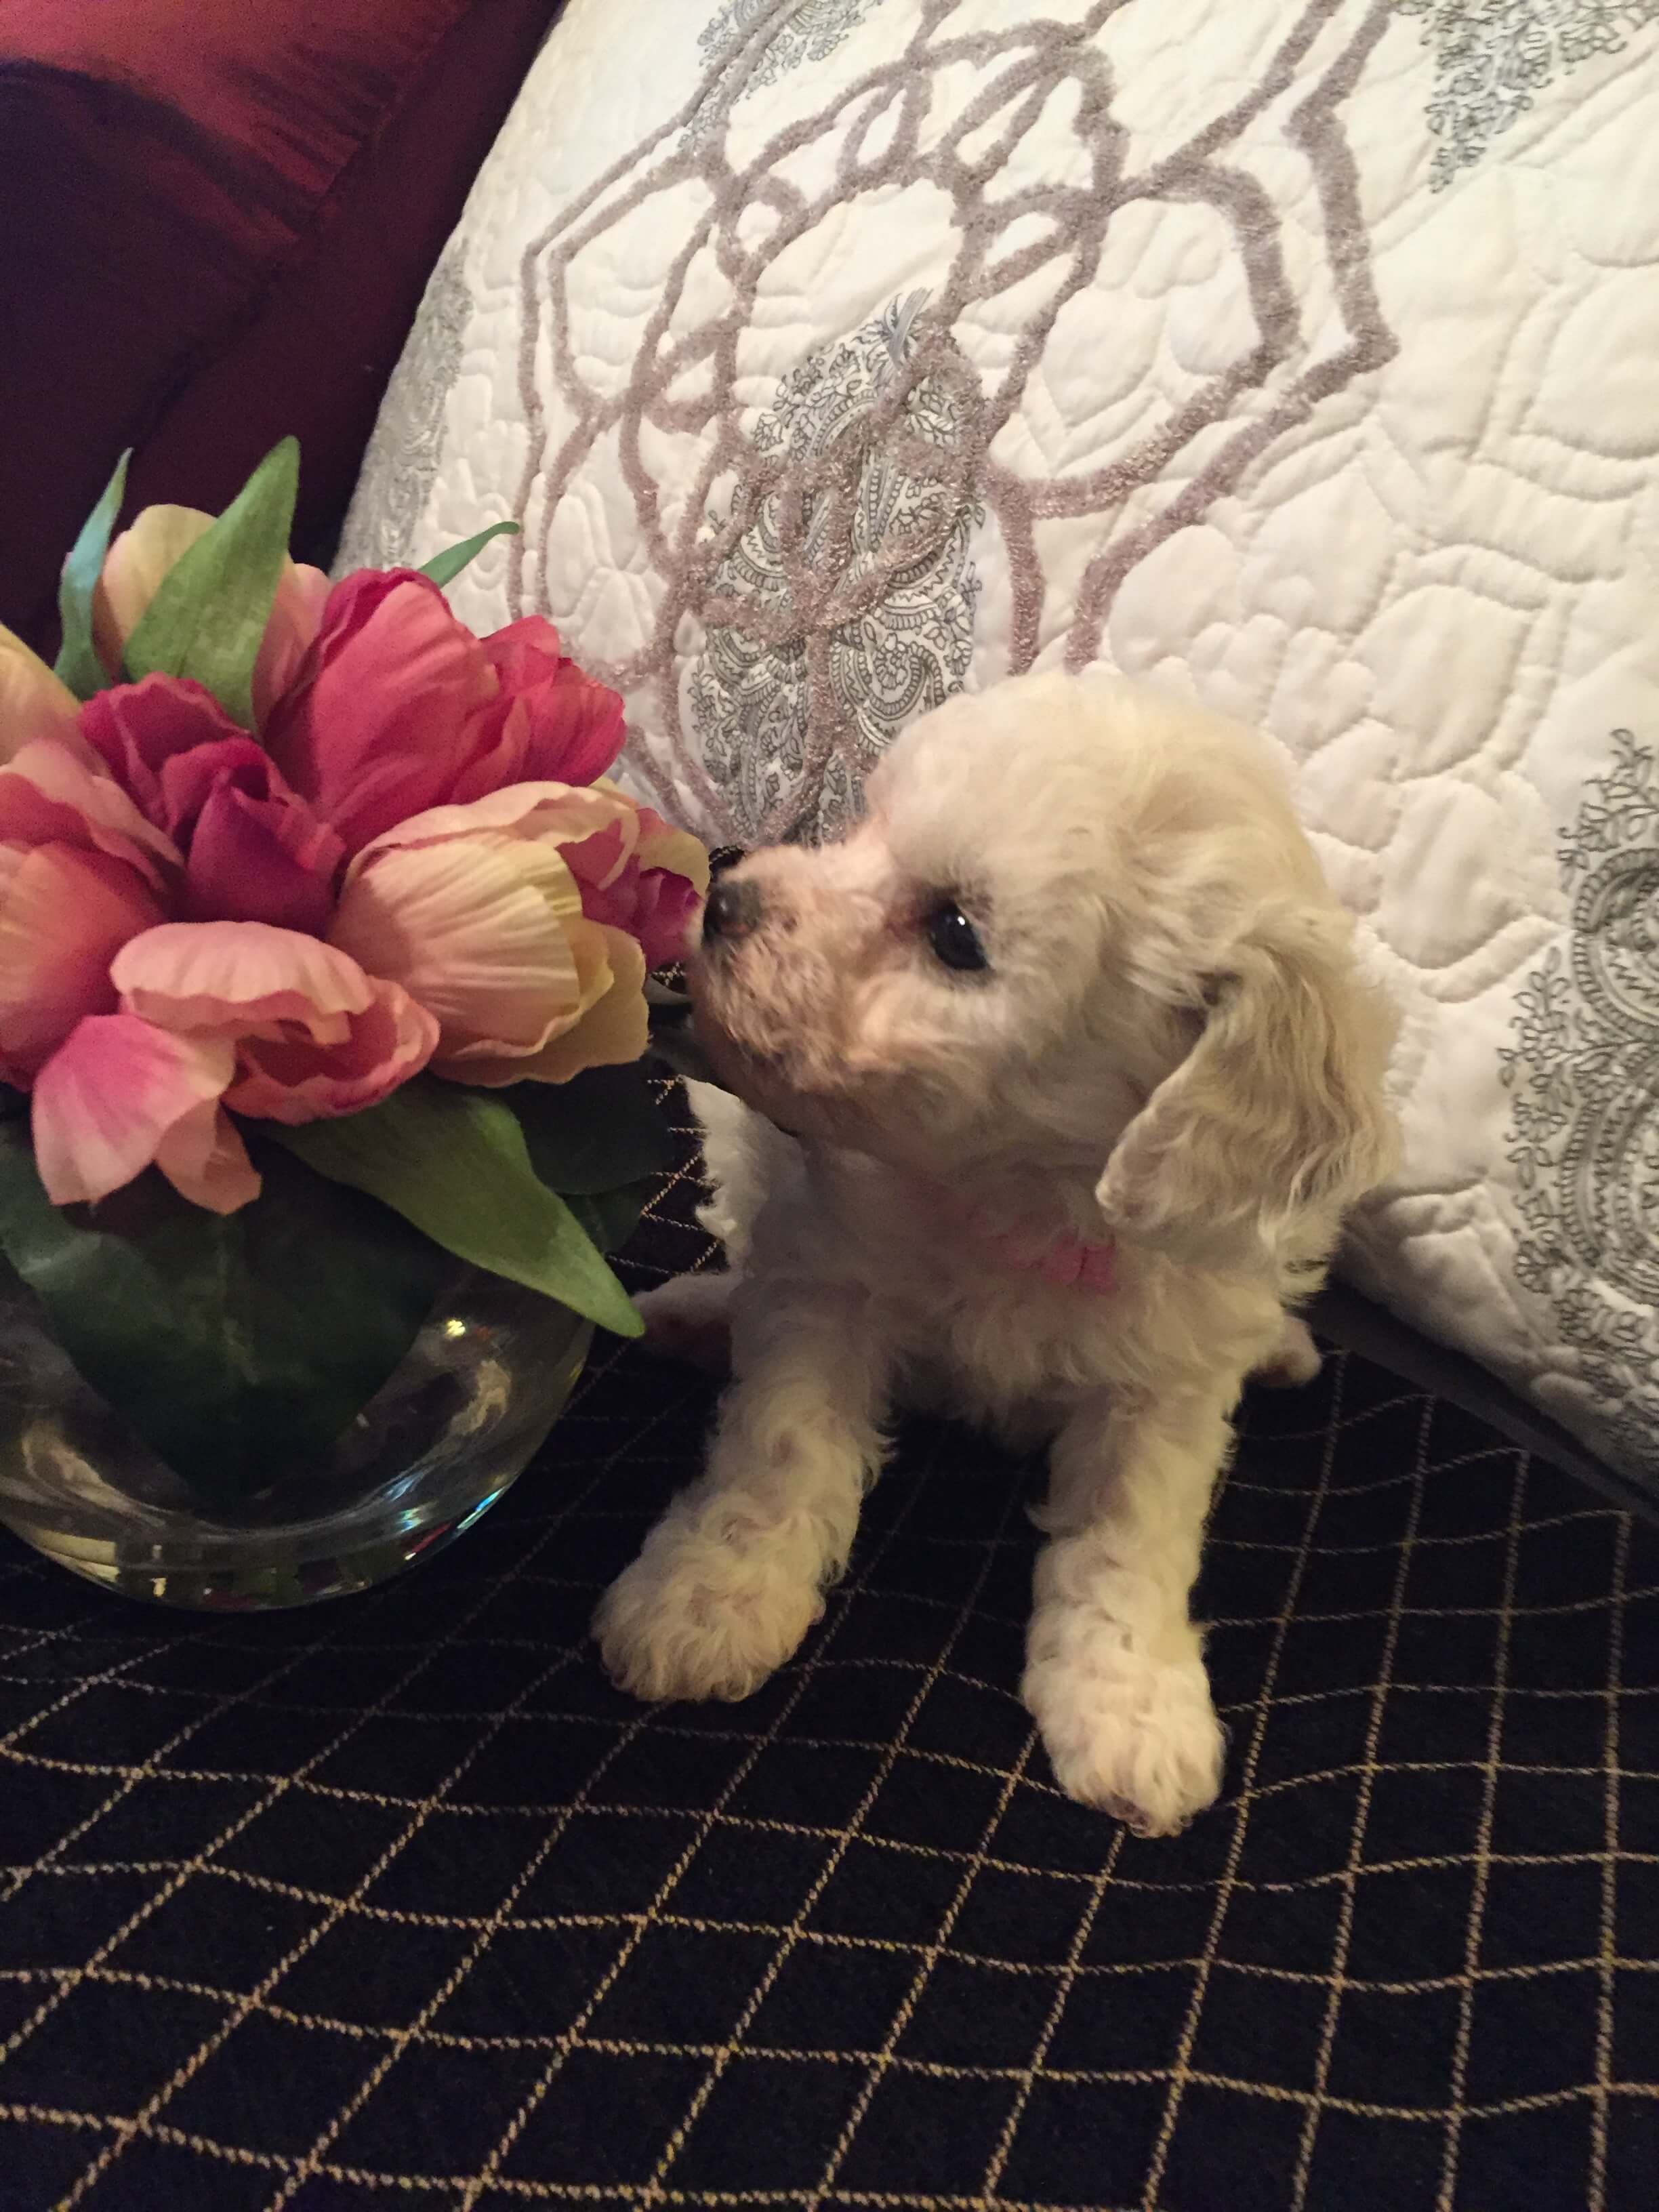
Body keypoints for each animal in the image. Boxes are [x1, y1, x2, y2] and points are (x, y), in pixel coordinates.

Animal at [592, 668, 1397, 1831]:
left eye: (958, 935)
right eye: (863, 823)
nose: (726, 890)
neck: (1020, 1206)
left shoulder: (1165, 1377)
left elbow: (1130, 1534)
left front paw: (1131, 1701)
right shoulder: (828, 1274)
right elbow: (780, 1446)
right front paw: (710, 1594)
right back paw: (697, 1318)